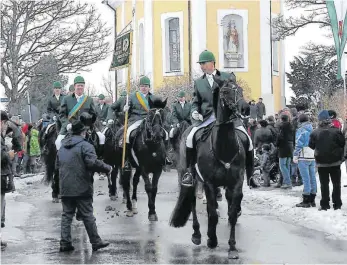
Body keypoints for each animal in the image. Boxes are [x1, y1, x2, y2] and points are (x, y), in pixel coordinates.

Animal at [170, 76, 254, 258]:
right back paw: (197, 234)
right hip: (191, 177)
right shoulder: (209, 183)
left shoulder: (236, 183)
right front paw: (212, 240)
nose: (245, 108)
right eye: (225, 91)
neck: (224, 147)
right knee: (193, 203)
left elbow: (231, 213)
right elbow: (213, 214)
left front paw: (232, 247)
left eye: (241, 89)